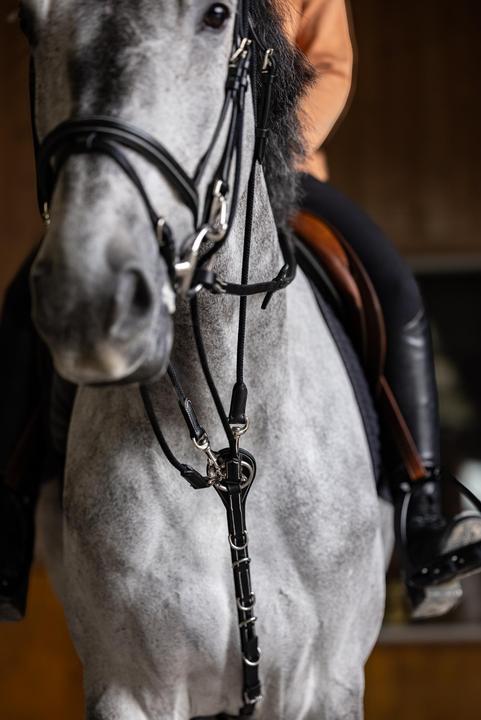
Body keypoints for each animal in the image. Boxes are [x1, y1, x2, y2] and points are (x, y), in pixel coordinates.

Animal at [23, 0, 393, 717]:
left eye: (216, 16)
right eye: (29, 23)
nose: (87, 297)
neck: (228, 451)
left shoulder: (326, 682)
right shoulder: (131, 688)